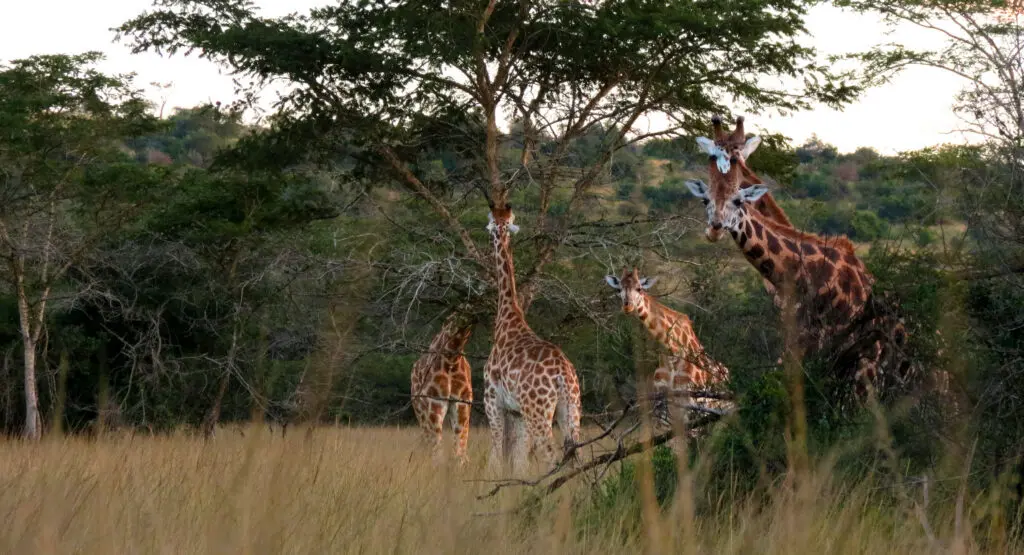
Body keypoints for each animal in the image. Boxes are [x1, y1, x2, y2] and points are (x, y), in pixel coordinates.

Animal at [410, 311, 475, 464]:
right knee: (428, 440)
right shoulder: (434, 400)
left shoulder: (462, 401)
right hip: (420, 411)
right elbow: (437, 449)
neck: (452, 359)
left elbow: (460, 447)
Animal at [483, 202, 582, 474]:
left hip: (538, 411)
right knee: (576, 455)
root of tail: (563, 375)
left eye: (491, 221)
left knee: (551, 454)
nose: (488, 229)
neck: (507, 319)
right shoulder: (516, 411)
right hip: (571, 409)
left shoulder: (492, 400)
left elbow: (496, 454)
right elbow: (517, 461)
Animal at [604, 267, 733, 441]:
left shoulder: (691, 407)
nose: (627, 307)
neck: (671, 353)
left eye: (639, 288)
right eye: (618, 289)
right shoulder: (665, 414)